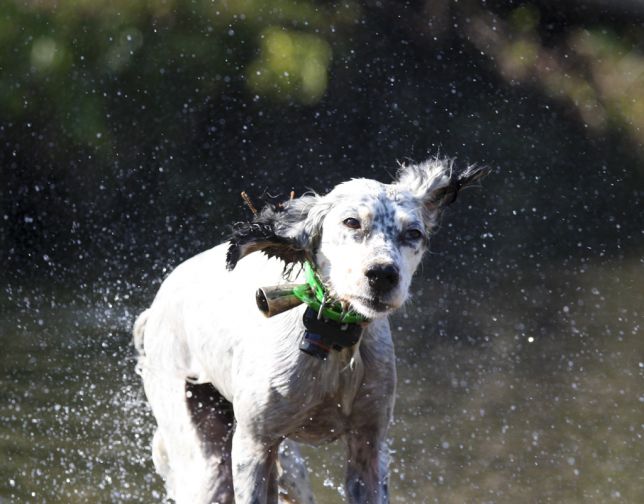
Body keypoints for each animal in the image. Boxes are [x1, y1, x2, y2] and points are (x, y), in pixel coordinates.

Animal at [135, 158, 488, 504]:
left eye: (413, 233)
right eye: (351, 222)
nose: (382, 274)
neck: (333, 340)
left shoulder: (369, 447)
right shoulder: (253, 447)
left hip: (291, 472)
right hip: (209, 464)